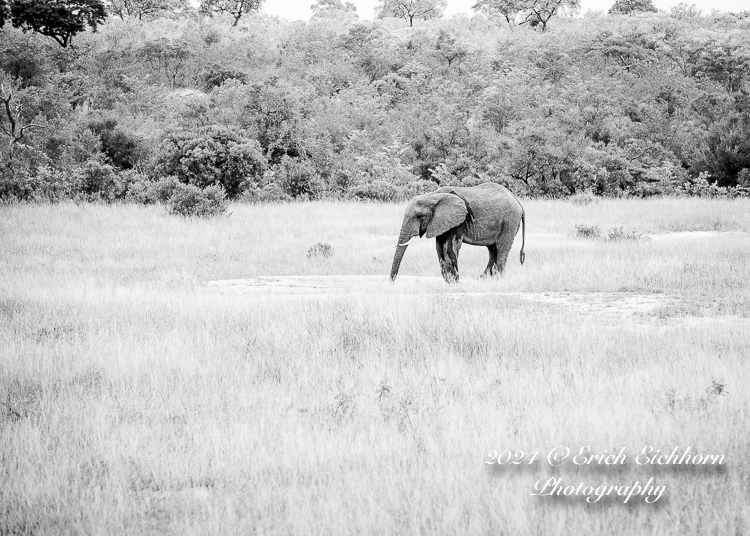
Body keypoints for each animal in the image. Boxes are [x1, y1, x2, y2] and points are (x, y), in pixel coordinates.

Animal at [390, 183, 524, 282]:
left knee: (501, 249)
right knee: (493, 250)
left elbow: (451, 247)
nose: (391, 282)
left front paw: (455, 281)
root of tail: (517, 201)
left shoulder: (459, 221)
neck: (432, 196)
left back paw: (498, 279)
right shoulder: (440, 222)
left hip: (509, 222)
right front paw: (449, 281)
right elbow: (439, 247)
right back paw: (483, 279)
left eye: (419, 216)